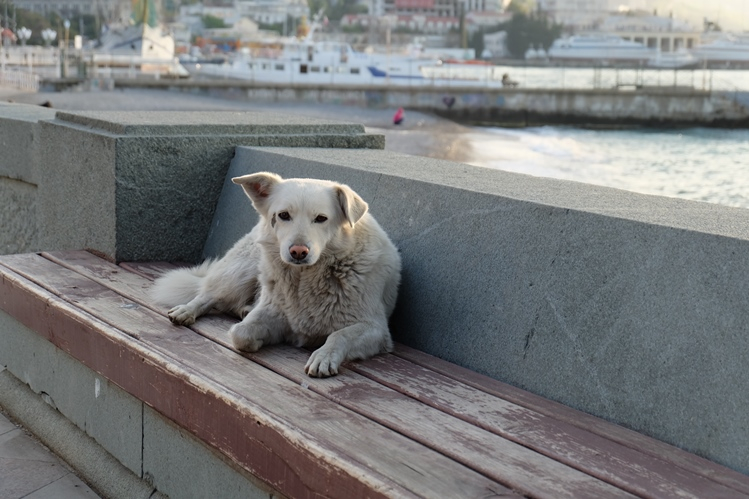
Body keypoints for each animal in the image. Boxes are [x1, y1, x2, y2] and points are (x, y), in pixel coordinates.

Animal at [148, 173, 400, 378]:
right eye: (284, 215)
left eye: (321, 218)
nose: (298, 251)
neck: (305, 278)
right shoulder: (273, 312)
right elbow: (241, 334)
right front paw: (259, 338)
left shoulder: (376, 329)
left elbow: (339, 335)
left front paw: (323, 356)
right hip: (242, 270)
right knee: (208, 295)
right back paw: (187, 310)